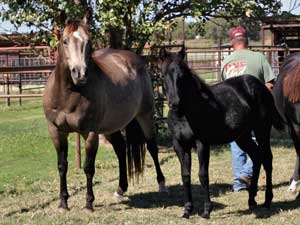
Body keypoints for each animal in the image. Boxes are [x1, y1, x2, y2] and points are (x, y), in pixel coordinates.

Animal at [42, 18, 166, 212]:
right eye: (65, 41)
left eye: (89, 42)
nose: (80, 73)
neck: (68, 95)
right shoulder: (56, 131)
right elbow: (62, 166)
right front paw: (63, 203)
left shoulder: (90, 133)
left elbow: (88, 167)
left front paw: (88, 203)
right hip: (111, 127)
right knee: (121, 149)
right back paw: (121, 189)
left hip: (145, 115)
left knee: (152, 146)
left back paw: (161, 184)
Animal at [159, 48, 284, 219]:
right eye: (163, 75)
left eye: (183, 75)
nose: (174, 103)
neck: (185, 114)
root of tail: (261, 86)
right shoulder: (179, 145)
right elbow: (185, 175)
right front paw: (187, 210)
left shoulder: (202, 144)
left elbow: (203, 175)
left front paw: (206, 210)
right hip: (242, 136)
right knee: (257, 157)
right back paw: (251, 200)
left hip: (261, 131)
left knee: (267, 159)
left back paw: (267, 201)